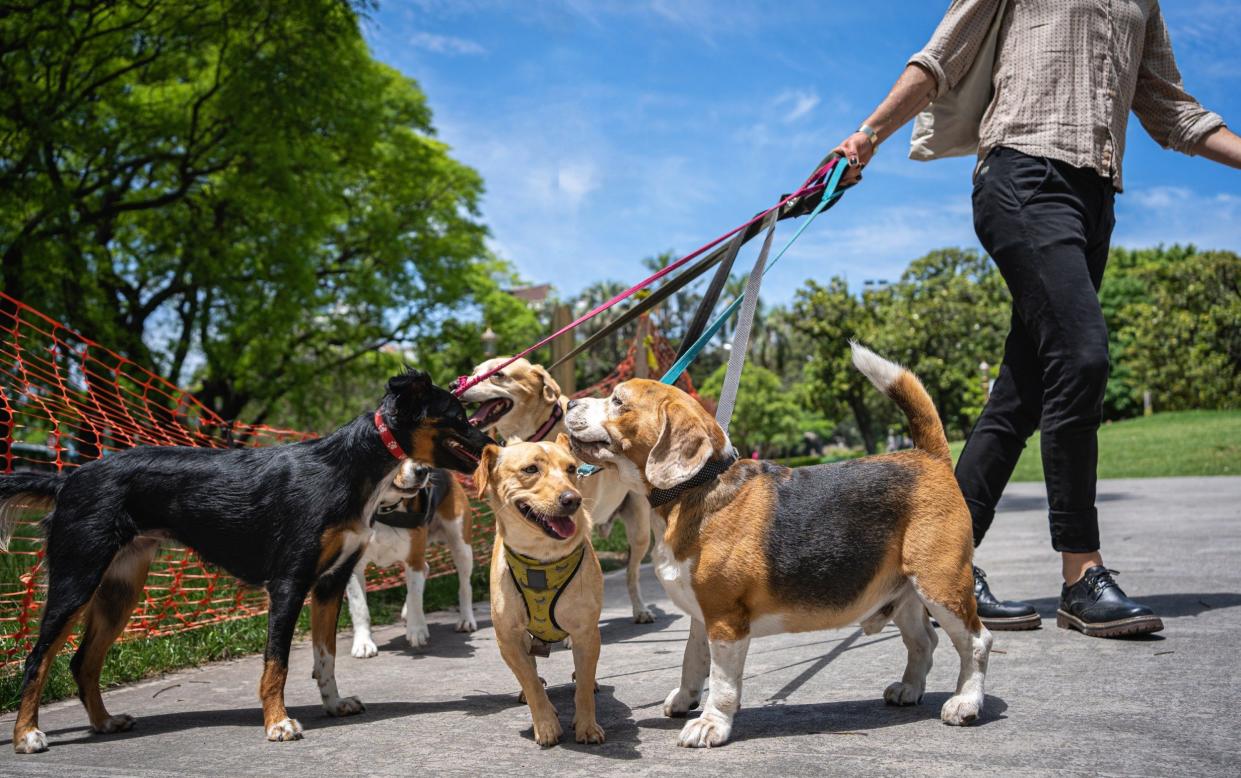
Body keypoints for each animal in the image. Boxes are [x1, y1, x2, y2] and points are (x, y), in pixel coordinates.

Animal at [0, 372, 493, 754]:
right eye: (457, 416)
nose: (490, 441)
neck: (347, 467)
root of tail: (67, 479)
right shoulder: (290, 582)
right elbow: (277, 663)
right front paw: (277, 723)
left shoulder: (330, 583)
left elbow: (326, 656)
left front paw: (333, 706)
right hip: (77, 578)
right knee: (36, 659)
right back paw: (26, 736)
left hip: (121, 588)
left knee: (82, 662)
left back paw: (103, 723)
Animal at [464, 359, 660, 627]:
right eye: (474, 373)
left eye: (498, 375)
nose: (455, 385)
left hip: (639, 530)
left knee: (632, 574)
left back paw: (640, 609)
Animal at [471, 439, 603, 749]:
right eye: (530, 469)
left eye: (571, 468)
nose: (573, 499)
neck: (543, 557)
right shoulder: (507, 638)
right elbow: (530, 682)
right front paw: (546, 725)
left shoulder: (586, 631)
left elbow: (583, 686)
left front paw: (587, 725)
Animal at [568, 344, 992, 749]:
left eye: (618, 400)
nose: (569, 403)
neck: (695, 486)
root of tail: (928, 456)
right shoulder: (702, 616)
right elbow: (692, 661)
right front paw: (685, 700)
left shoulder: (725, 621)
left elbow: (722, 683)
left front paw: (710, 724)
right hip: (903, 594)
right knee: (924, 641)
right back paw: (909, 689)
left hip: (940, 585)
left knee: (975, 642)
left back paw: (965, 702)